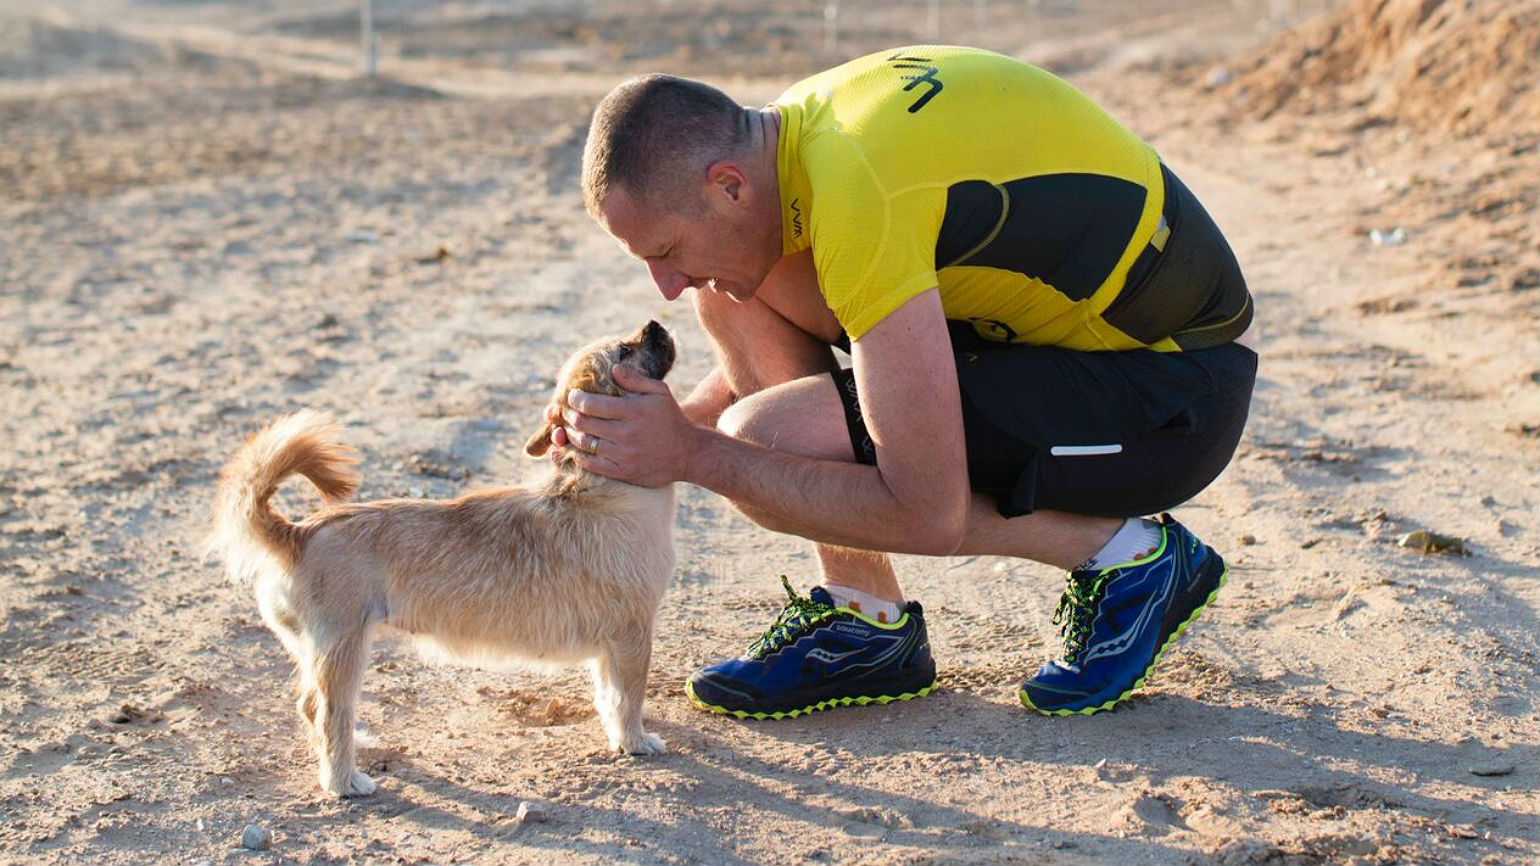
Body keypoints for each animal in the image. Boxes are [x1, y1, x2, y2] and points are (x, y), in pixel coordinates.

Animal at [207, 318, 677, 795]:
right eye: (624, 350)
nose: (654, 323)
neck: (596, 487)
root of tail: (298, 533)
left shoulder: (610, 647)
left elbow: (608, 697)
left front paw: (619, 737)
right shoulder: (632, 637)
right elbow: (628, 698)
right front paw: (636, 741)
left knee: (309, 705)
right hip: (343, 652)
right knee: (329, 716)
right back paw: (344, 780)